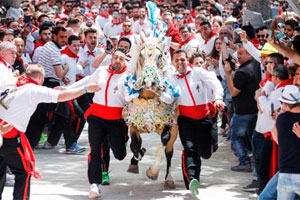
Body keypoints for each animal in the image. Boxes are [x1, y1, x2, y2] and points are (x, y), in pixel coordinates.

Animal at [124, 1, 180, 189]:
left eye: (160, 55)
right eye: (141, 55)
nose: (149, 81)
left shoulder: (171, 123)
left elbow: (164, 144)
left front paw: (153, 172)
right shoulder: (133, 121)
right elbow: (135, 144)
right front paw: (136, 159)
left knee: (169, 150)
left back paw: (169, 178)